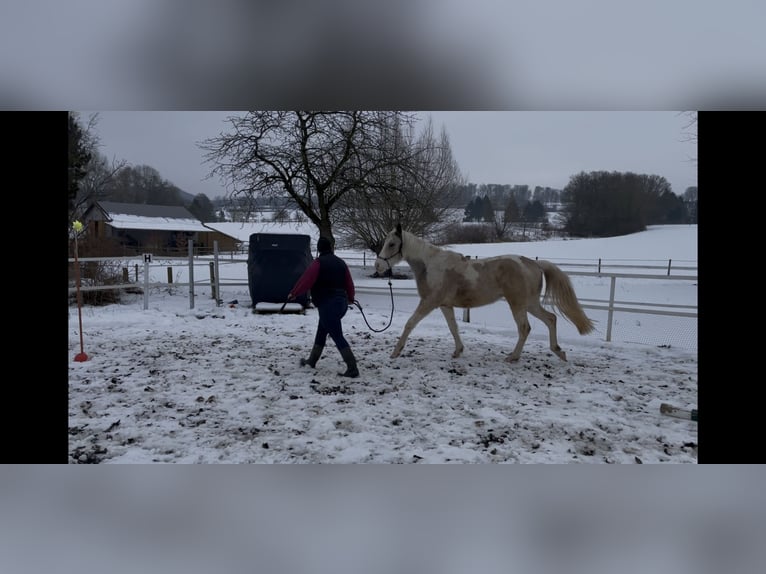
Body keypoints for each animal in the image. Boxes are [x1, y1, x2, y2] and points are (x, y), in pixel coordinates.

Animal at [374, 224, 595, 362]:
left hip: (518, 304)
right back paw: (558, 351)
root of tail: (534, 264)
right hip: (530, 303)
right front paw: (458, 351)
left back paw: (513, 357)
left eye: (392, 244)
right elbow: (453, 327)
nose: (378, 266)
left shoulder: (429, 302)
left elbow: (410, 323)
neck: (431, 265)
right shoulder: (445, 305)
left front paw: (395, 352)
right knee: (550, 319)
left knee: (525, 328)